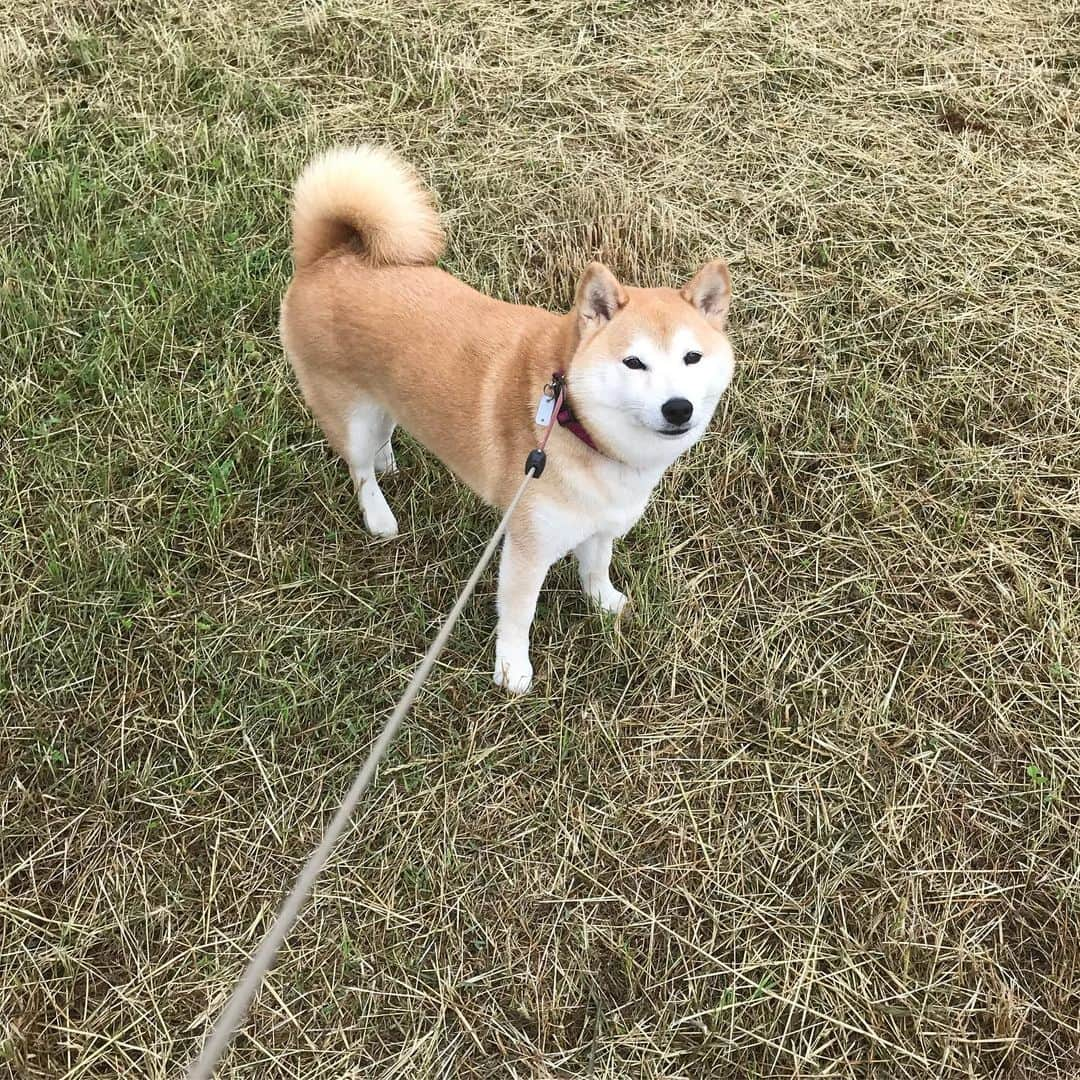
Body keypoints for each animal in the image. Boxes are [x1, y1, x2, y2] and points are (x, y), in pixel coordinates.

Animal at [278, 145, 734, 691]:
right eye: (633, 362)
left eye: (692, 358)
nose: (678, 407)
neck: (573, 421)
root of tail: (326, 257)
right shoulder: (527, 546)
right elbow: (518, 614)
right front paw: (513, 669)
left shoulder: (600, 525)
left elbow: (596, 568)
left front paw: (605, 603)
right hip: (349, 415)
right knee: (359, 467)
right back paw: (379, 512)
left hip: (384, 396)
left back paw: (389, 460)